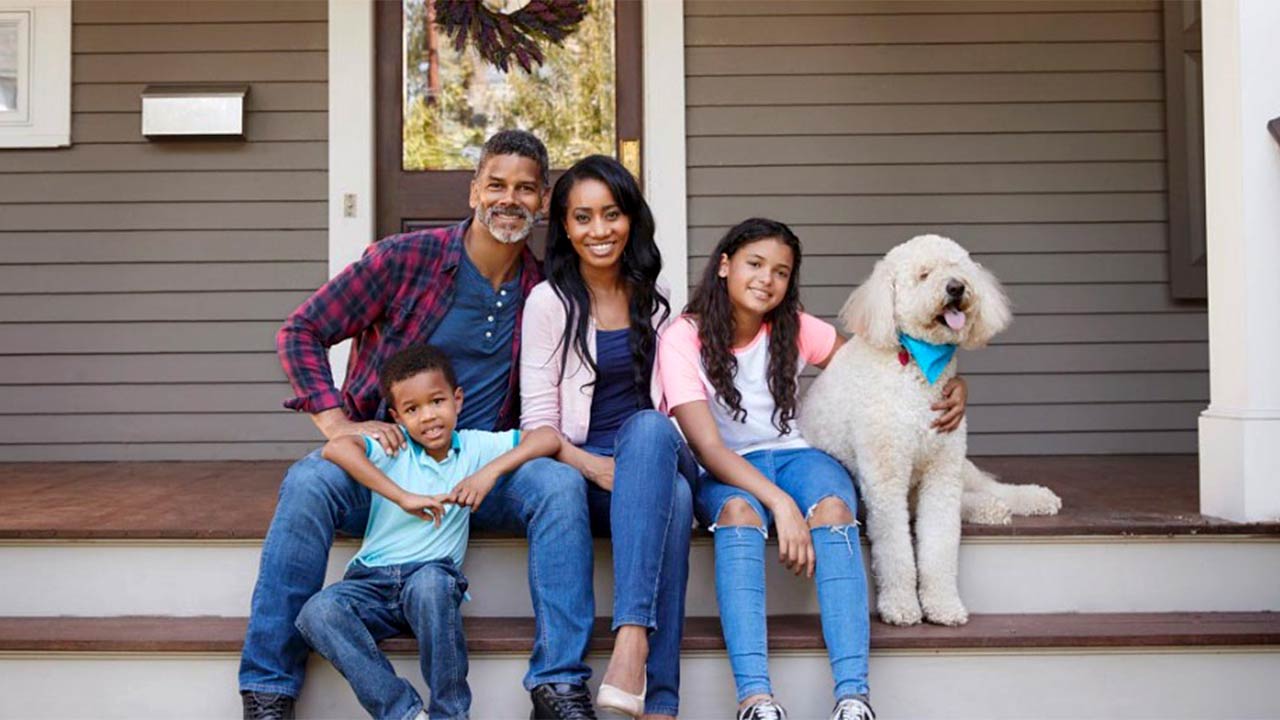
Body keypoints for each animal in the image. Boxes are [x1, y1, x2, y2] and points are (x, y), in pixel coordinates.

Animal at [803, 234, 1064, 622]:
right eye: (924, 274)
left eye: (957, 267)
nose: (956, 287)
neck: (915, 365)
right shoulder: (887, 478)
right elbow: (896, 551)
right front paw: (901, 606)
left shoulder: (943, 469)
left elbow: (940, 545)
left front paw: (943, 604)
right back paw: (991, 508)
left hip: (961, 469)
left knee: (993, 488)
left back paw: (1029, 499)